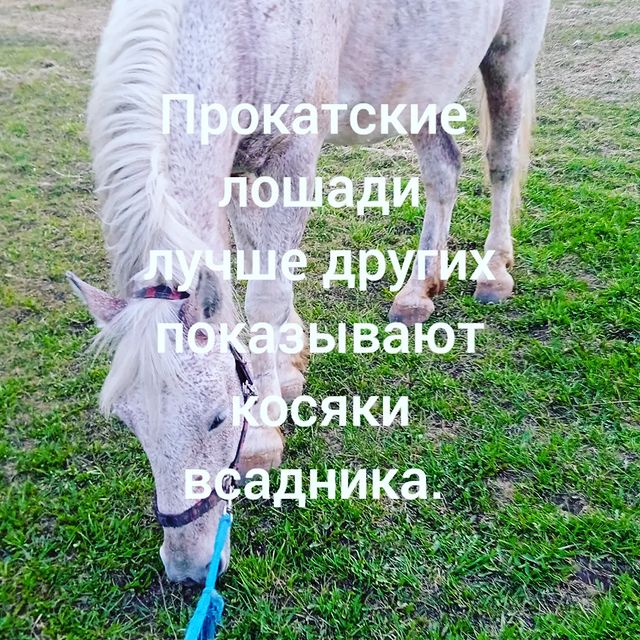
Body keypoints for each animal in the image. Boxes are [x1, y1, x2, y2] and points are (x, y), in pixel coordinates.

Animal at [68, 0, 550, 583]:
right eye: (127, 422)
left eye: (219, 417)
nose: (189, 569)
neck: (233, 30)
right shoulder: (240, 165)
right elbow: (256, 272)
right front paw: (289, 366)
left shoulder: (289, 156)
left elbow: (265, 299)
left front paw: (263, 436)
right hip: (419, 83)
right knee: (443, 171)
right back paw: (418, 291)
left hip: (507, 59)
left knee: (500, 159)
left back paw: (494, 270)